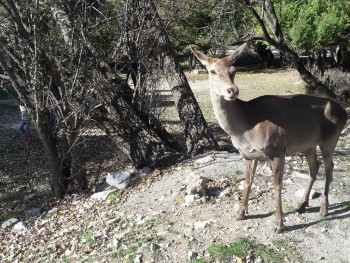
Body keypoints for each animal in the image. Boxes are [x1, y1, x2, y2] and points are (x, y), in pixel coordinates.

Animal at [191, 43, 348, 235]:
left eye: (234, 70)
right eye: (212, 71)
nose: (232, 90)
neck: (245, 128)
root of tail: (344, 112)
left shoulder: (278, 149)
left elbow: (277, 186)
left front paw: (279, 224)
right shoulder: (249, 156)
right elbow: (248, 182)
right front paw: (240, 213)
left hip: (330, 137)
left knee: (329, 167)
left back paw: (323, 209)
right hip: (308, 144)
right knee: (314, 167)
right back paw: (302, 205)